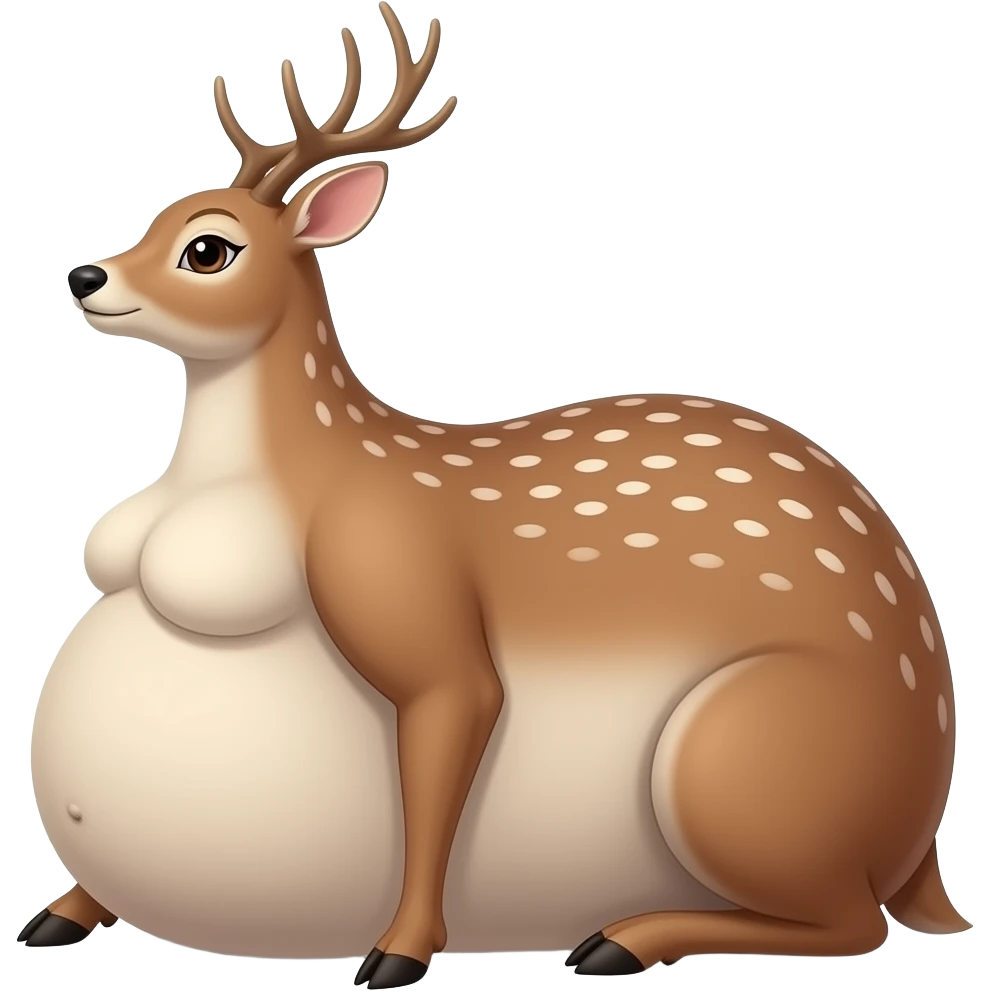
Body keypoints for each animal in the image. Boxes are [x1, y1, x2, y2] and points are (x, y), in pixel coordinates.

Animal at [30, 1, 967, 983]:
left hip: (734, 754)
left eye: (208, 248)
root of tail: (925, 842)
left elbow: (442, 754)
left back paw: (622, 935)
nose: (85, 275)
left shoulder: (401, 584)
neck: (300, 474)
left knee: (852, 923)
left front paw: (397, 951)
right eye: (156, 217)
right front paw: (60, 908)